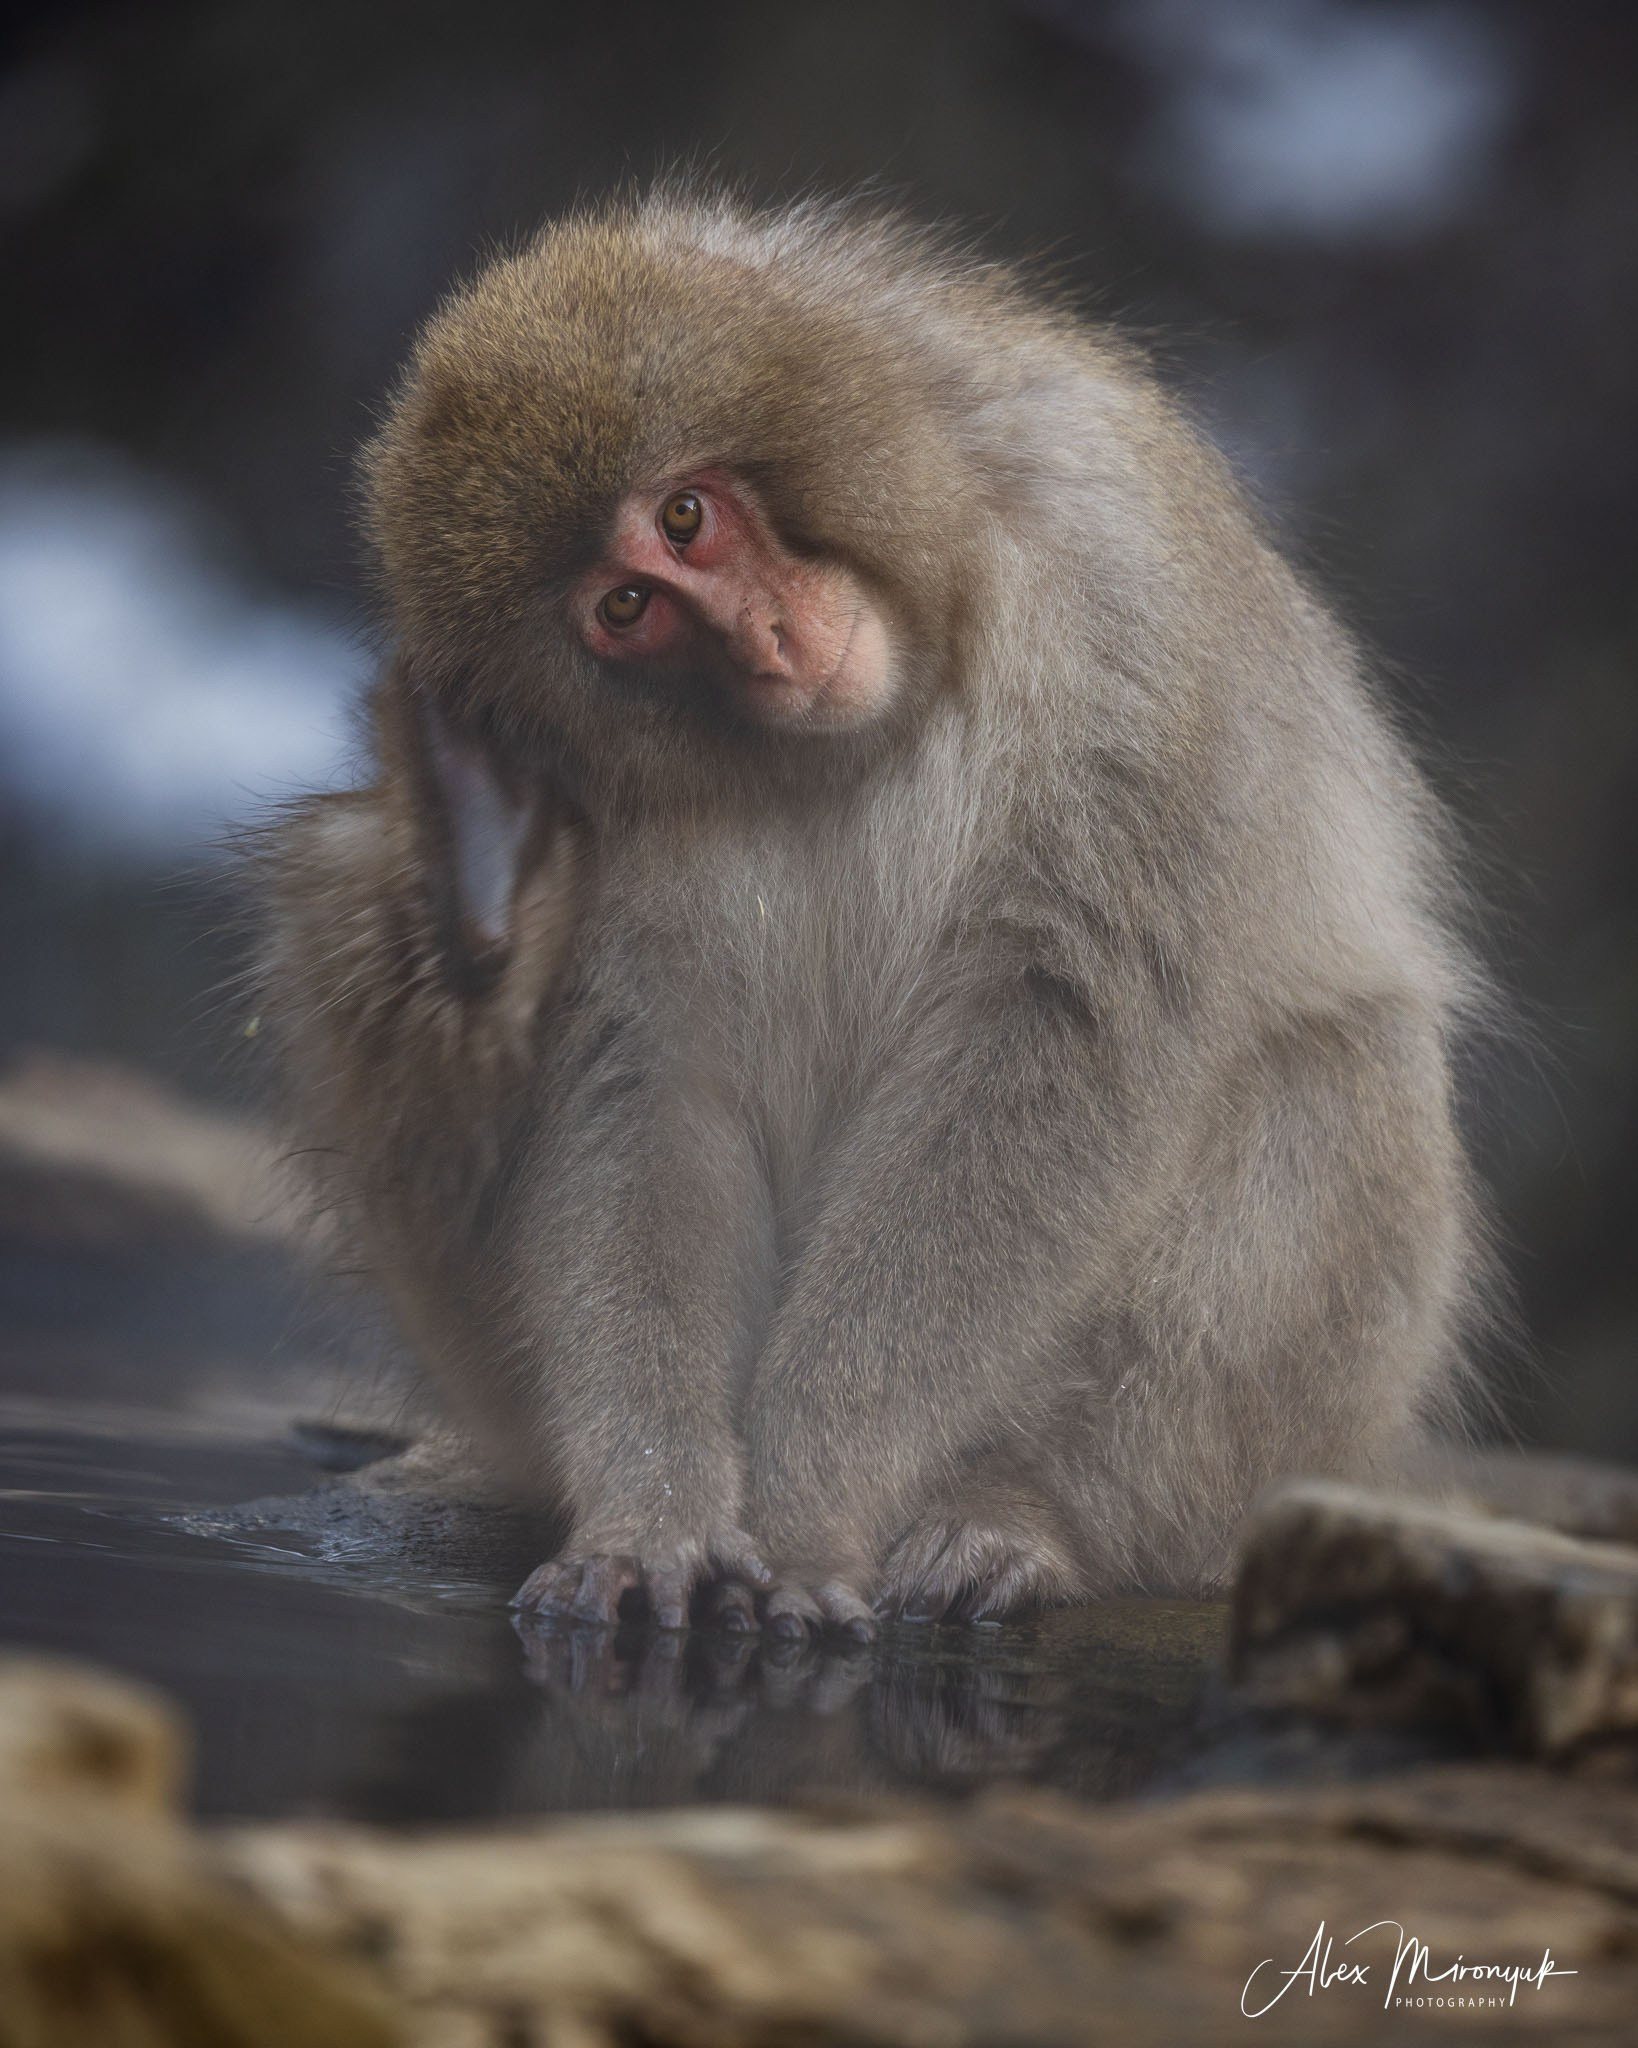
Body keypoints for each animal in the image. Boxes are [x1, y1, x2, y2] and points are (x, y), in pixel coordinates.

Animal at [258, 188, 1487, 1641]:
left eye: (686, 516)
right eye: (628, 608)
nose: (770, 641)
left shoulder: (1121, 585)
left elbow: (1059, 1027)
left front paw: (810, 1499)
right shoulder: (577, 768)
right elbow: (643, 1080)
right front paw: (657, 1509)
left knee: (1345, 1082)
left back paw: (1026, 1515)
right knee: (350, 871)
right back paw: (472, 867)